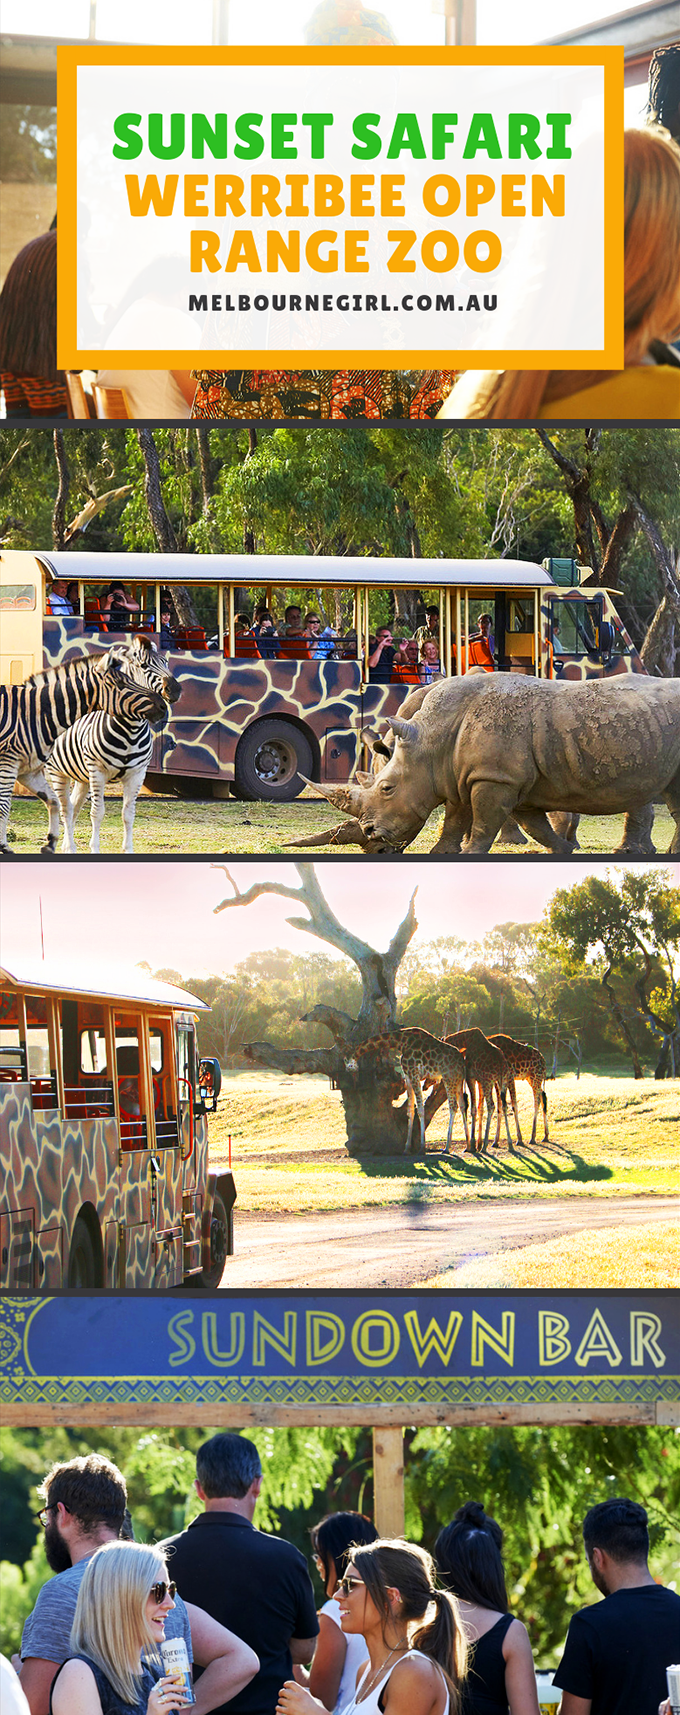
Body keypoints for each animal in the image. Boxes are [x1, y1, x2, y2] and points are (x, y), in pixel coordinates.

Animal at [0, 648, 166, 857]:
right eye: (121, 684)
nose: (163, 705)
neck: (36, 714)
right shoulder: (8, 764)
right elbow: (4, 806)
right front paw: (4, 846)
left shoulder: (27, 771)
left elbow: (54, 802)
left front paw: (50, 843)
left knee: (71, 805)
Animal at [46, 637, 181, 857]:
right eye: (143, 666)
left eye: (166, 662)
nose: (175, 690)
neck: (131, 730)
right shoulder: (98, 772)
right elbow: (97, 813)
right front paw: (95, 849)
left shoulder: (137, 774)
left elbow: (128, 814)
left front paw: (128, 849)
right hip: (59, 771)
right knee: (66, 810)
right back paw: (71, 847)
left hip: (83, 778)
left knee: (74, 807)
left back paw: (67, 847)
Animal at [344, 1022, 465, 1159]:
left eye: (349, 1066)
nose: (353, 1079)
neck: (400, 1041)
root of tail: (461, 1061)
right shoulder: (407, 1076)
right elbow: (410, 1110)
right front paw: (407, 1148)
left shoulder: (414, 1073)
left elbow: (420, 1109)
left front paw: (422, 1148)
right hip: (459, 1080)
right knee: (462, 1105)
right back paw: (470, 1145)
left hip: (449, 1078)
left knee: (453, 1106)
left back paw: (447, 1148)